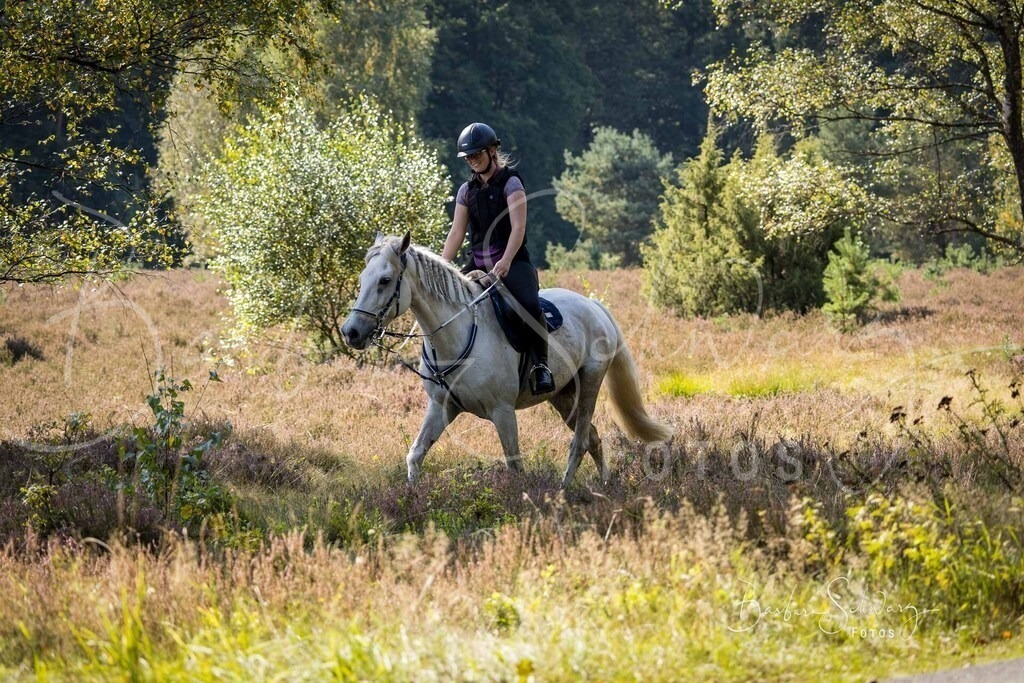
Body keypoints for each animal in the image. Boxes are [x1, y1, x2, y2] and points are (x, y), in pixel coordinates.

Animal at [341, 232, 672, 488]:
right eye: (362, 279)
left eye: (385, 280)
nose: (351, 332)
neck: (455, 334)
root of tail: (592, 304)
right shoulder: (441, 407)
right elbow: (416, 454)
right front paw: (412, 499)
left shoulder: (503, 412)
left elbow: (514, 465)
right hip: (563, 396)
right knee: (592, 437)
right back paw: (604, 484)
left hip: (590, 382)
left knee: (579, 442)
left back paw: (563, 492)